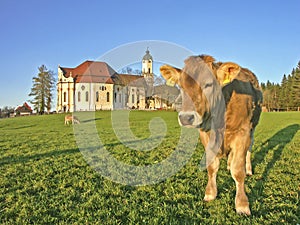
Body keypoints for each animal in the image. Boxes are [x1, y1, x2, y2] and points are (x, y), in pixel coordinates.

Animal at [161, 54, 262, 214]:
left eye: (208, 84)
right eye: (181, 86)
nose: (186, 117)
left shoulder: (242, 133)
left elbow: (238, 171)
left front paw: (242, 204)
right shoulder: (206, 135)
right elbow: (212, 167)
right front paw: (210, 193)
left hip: (253, 128)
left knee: (249, 150)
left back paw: (249, 169)